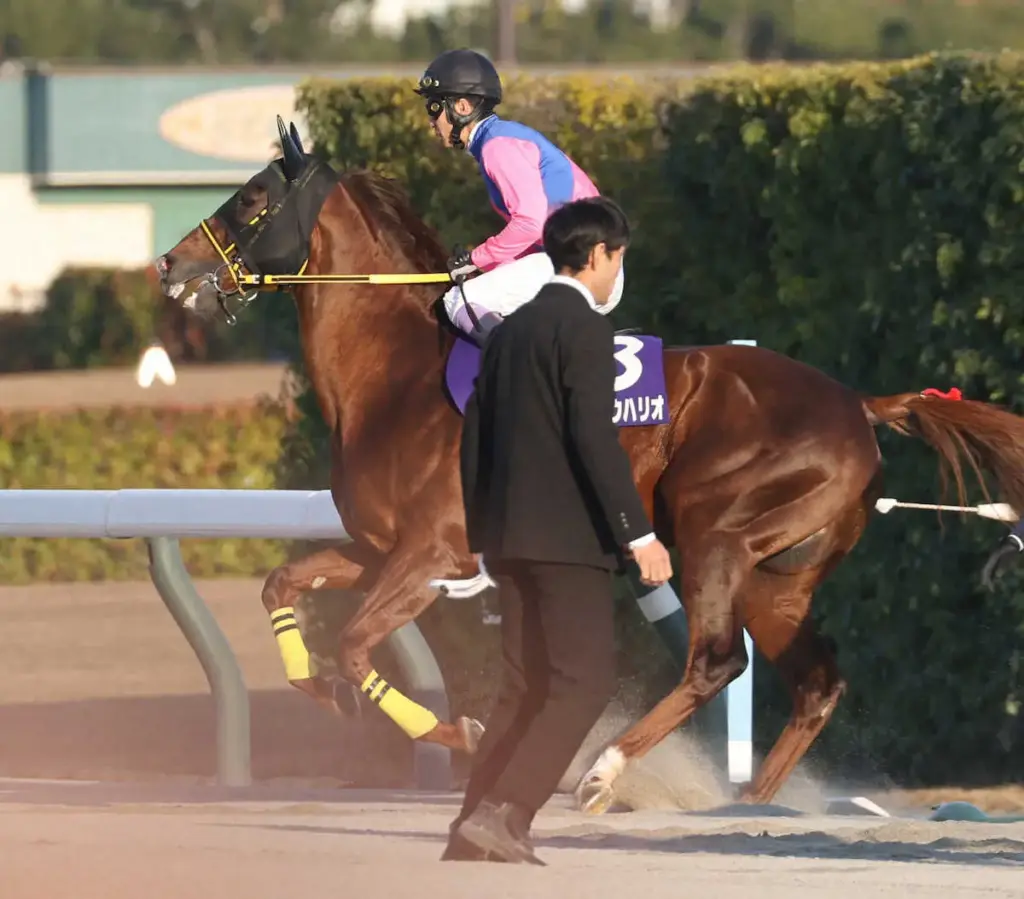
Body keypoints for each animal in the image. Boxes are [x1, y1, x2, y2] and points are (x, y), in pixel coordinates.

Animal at [155, 118, 1024, 813]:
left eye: (250, 197)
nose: (169, 265)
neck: (397, 373)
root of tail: (857, 402)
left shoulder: (433, 552)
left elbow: (357, 643)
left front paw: (463, 730)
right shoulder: (381, 548)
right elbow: (285, 588)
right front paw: (326, 691)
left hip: (714, 533)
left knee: (716, 660)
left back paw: (605, 771)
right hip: (780, 573)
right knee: (816, 683)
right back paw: (747, 806)